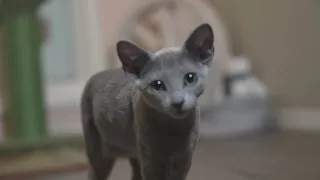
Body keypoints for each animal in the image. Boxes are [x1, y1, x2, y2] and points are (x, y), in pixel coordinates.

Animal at [80, 23, 215, 180]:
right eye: (157, 84)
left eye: (190, 78)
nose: (178, 101)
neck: (173, 131)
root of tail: (96, 75)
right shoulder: (151, 160)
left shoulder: (184, 158)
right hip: (98, 150)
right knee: (95, 171)